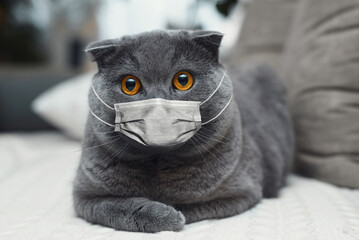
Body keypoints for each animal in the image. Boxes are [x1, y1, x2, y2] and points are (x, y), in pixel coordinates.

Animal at [73, 29, 296, 232]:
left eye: (183, 80)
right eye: (130, 84)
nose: (158, 110)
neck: (157, 163)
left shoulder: (242, 192)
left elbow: (189, 204)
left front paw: (169, 214)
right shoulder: (83, 196)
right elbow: (113, 207)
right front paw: (160, 214)